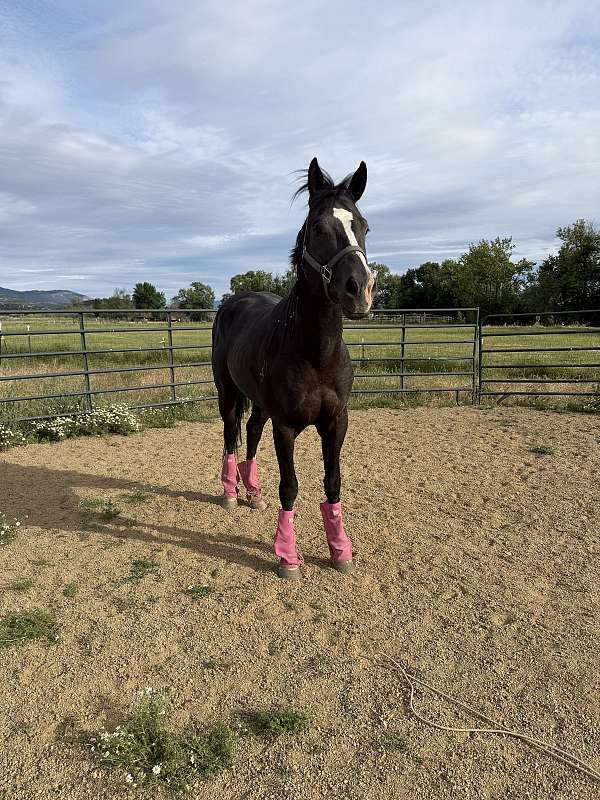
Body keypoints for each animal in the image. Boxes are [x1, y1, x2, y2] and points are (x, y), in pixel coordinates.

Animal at [211, 157, 374, 579]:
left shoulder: (336, 422)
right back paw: (231, 492)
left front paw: (340, 551)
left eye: (363, 225)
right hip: (228, 393)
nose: (359, 289)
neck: (315, 352)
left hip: (259, 401)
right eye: (318, 227)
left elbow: (332, 482)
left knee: (251, 431)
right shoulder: (285, 426)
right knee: (231, 434)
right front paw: (287, 556)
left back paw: (253, 493)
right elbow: (290, 486)